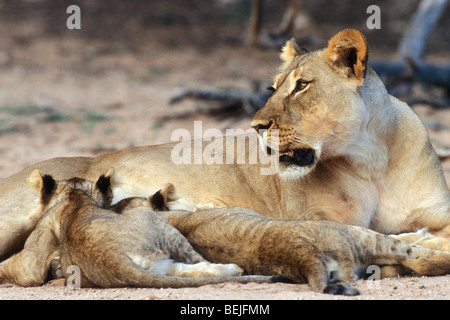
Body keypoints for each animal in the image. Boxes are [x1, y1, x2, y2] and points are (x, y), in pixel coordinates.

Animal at [0, 29, 450, 260]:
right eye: (272, 88)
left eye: (302, 86)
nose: (256, 125)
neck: (370, 158)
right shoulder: (316, 217)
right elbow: (374, 233)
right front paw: (422, 242)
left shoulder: (435, 209)